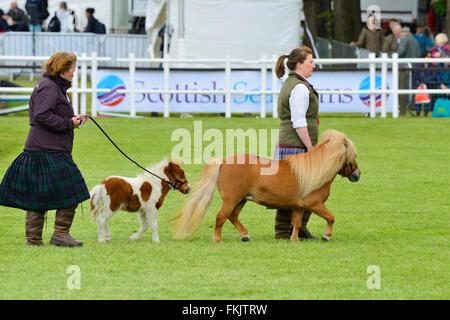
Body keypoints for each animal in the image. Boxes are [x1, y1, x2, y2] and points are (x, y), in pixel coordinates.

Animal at [174, 129, 360, 241]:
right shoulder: (315, 204)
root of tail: (224, 162)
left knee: (232, 217)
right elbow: (331, 217)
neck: (315, 170)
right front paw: (326, 236)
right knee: (221, 217)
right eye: (352, 156)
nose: (357, 174)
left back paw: (245, 235)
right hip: (231, 200)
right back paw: (217, 239)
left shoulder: (299, 207)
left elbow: (297, 223)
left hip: (241, 200)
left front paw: (294, 240)